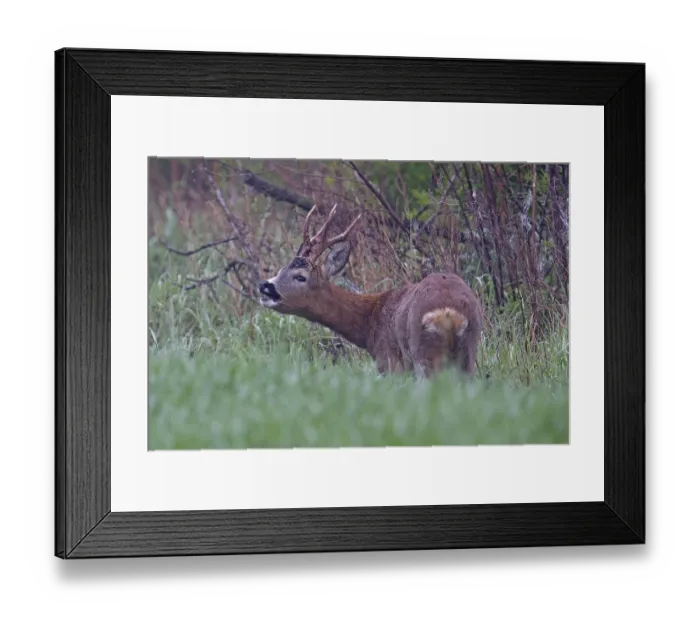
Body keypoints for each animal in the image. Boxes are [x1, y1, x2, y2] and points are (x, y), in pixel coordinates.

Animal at [258, 204, 483, 379]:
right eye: (281, 269)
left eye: (300, 276)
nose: (265, 286)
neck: (369, 322)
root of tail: (449, 313)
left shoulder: (390, 362)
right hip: (468, 353)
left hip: (423, 353)